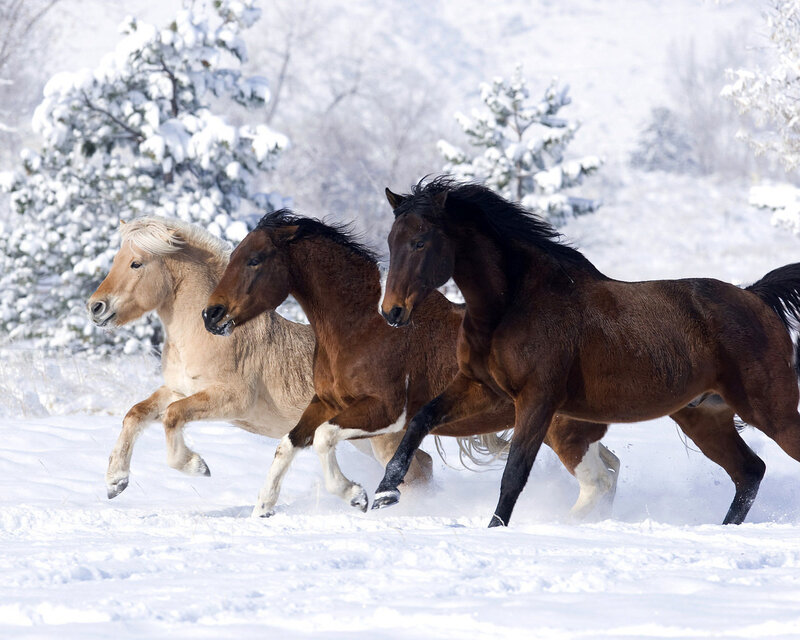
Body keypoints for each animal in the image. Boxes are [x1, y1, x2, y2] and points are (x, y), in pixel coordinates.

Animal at [86, 216, 433, 511]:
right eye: (116, 260)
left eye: (136, 263)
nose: (95, 307)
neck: (207, 335)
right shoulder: (178, 389)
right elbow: (135, 414)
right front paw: (115, 482)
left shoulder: (231, 399)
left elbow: (172, 416)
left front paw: (197, 466)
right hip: (365, 439)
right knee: (424, 465)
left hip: (382, 439)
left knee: (416, 472)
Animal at [203, 210, 620, 518]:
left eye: (255, 260)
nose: (211, 314)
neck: (362, 327)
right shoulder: (326, 402)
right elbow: (288, 444)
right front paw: (263, 508)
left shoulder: (385, 411)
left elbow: (323, 439)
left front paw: (356, 495)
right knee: (610, 469)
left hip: (561, 430)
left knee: (598, 481)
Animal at [374, 177, 800, 527]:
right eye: (391, 241)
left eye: (420, 242)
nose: (392, 312)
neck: (514, 303)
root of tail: (755, 296)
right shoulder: (481, 388)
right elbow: (421, 419)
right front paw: (384, 492)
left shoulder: (537, 400)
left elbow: (514, 473)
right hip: (704, 417)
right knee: (749, 472)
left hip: (769, 410)